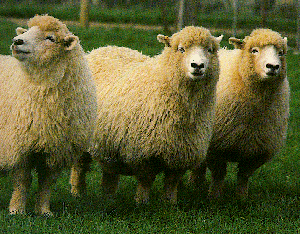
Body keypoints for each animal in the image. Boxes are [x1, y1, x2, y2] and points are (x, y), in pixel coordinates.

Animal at [0, 15, 96, 216]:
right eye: (28, 30)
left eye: (50, 38)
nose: (17, 41)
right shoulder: (20, 146)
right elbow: (22, 181)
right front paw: (16, 210)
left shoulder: (56, 149)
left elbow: (46, 182)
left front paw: (44, 211)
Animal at [69, 26, 221, 204]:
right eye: (181, 49)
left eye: (210, 50)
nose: (197, 65)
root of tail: (102, 48)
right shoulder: (143, 154)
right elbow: (146, 181)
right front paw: (142, 203)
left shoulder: (181, 154)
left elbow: (172, 183)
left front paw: (170, 204)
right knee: (79, 166)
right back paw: (77, 192)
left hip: (108, 144)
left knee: (109, 172)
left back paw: (109, 197)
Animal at [189, 27, 290, 199]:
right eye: (254, 50)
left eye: (281, 52)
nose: (273, 66)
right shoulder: (216, 147)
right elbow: (218, 174)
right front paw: (214, 197)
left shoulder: (257, 150)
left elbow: (244, 176)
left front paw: (242, 198)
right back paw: (195, 186)